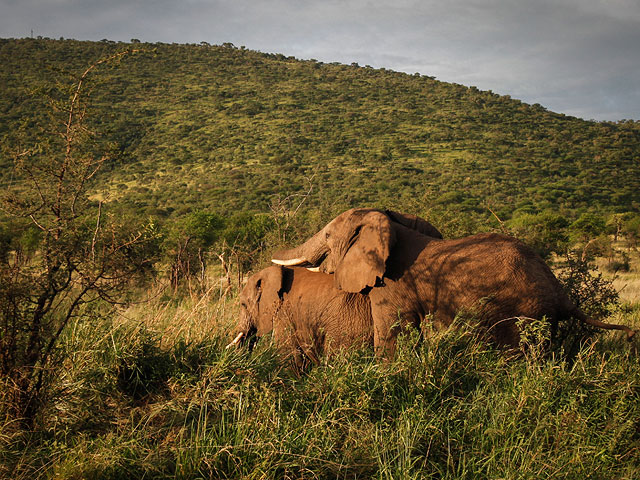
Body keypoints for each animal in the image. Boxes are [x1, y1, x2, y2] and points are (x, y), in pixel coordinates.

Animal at [272, 207, 636, 356]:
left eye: (328, 235)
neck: (391, 226)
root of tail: (561, 293)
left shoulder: (392, 286)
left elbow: (390, 338)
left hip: (524, 311)